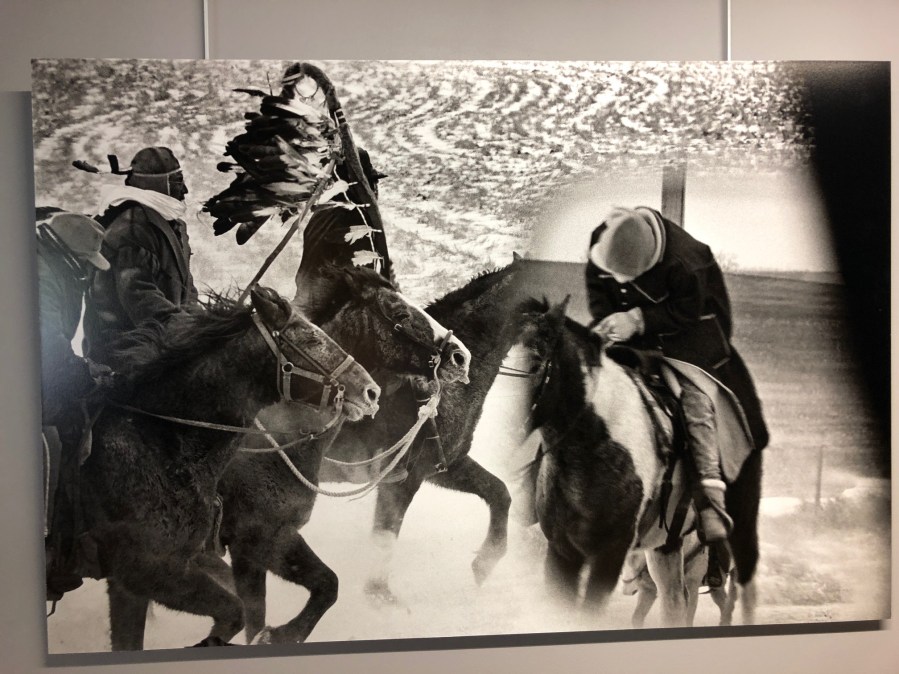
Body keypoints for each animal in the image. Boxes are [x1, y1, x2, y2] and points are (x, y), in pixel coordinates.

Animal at [216, 265, 473, 644]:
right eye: (399, 313)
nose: (460, 355)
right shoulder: (256, 539)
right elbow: (279, 605)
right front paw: (280, 634)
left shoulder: (266, 544)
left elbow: (310, 592)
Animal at [315, 260, 535, 605]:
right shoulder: (403, 479)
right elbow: (385, 536)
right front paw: (379, 596)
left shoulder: (444, 467)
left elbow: (499, 492)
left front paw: (485, 563)